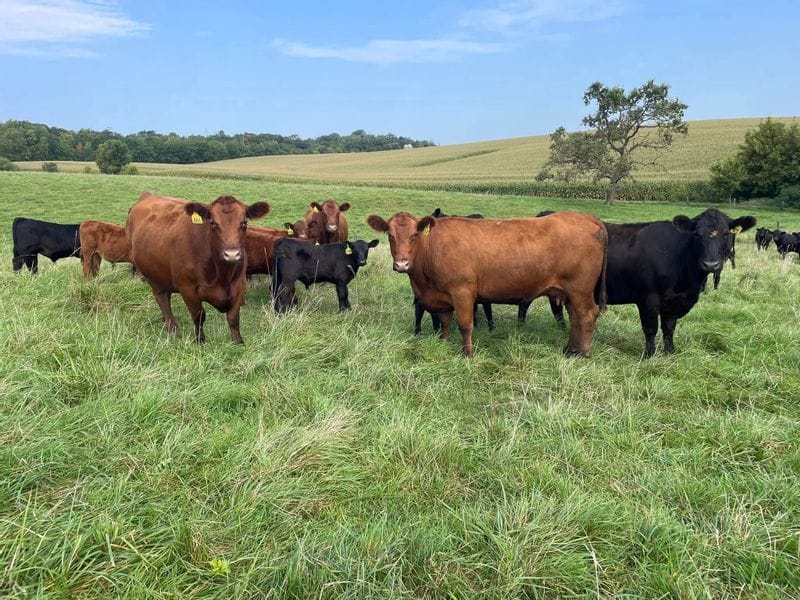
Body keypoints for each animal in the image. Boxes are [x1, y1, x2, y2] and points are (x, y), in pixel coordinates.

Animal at [126, 193, 270, 344]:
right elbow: (199, 316)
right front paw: (200, 341)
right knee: (162, 300)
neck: (223, 275)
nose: (231, 254)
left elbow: (233, 317)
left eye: (244, 222)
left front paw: (238, 342)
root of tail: (148, 195)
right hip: (151, 276)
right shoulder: (188, 289)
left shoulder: (240, 285)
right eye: (213, 223)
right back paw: (173, 330)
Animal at [367, 212, 607, 357]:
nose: (402, 264)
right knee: (575, 317)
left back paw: (582, 353)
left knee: (587, 316)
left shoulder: (462, 291)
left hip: (580, 289)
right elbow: (445, 323)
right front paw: (443, 344)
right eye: (390, 235)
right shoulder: (442, 297)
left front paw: (468, 354)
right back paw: (570, 349)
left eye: (415, 234)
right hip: (569, 292)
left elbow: (465, 324)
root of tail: (583, 216)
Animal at [547, 208, 756, 357]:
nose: (711, 264)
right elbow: (650, 328)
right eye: (696, 234)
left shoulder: (674, 301)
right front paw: (649, 355)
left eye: (726, 234)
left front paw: (670, 352)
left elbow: (669, 328)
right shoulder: (648, 297)